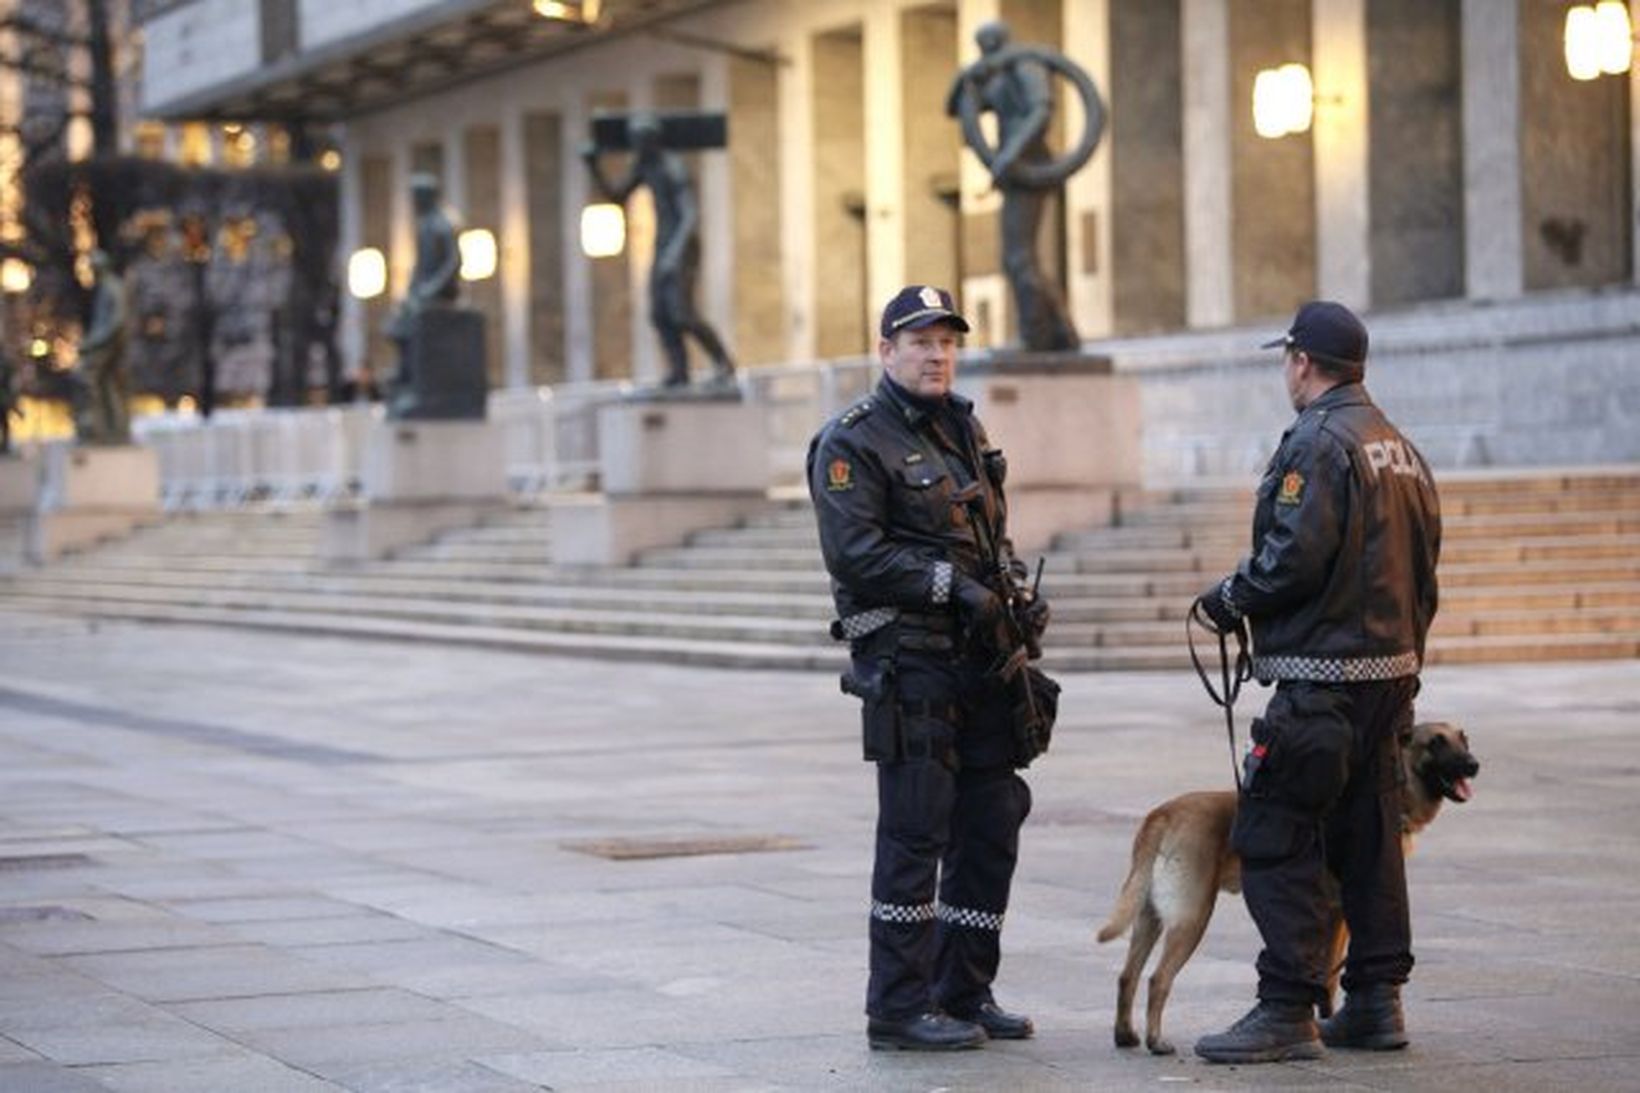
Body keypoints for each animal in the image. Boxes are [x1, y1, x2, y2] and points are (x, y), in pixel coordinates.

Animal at [1102, 718, 1476, 1050]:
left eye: (1464, 739)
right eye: (1436, 743)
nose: (1474, 765)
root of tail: (1163, 814)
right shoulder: (1338, 915)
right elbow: (1328, 977)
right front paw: (1322, 1021)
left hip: (1148, 918)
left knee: (1127, 976)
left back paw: (1125, 1036)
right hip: (1193, 917)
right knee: (1158, 979)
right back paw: (1156, 1041)